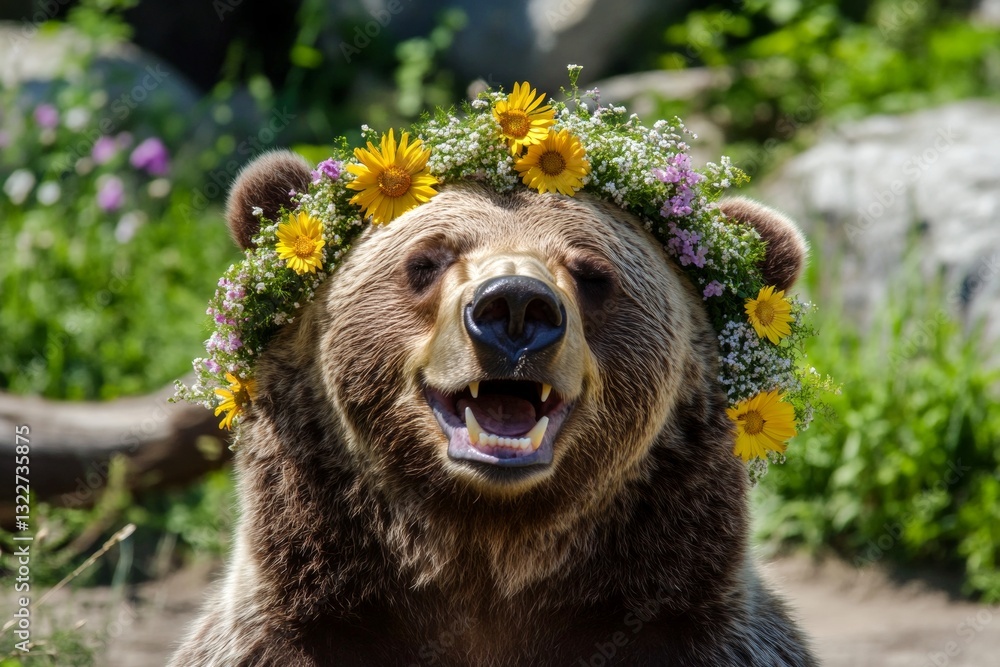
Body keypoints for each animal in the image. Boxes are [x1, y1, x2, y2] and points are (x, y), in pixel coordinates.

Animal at [169, 150, 816, 666]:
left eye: (593, 272)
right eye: (426, 261)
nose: (517, 305)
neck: (489, 555)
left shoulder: (696, 634)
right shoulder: (293, 634)